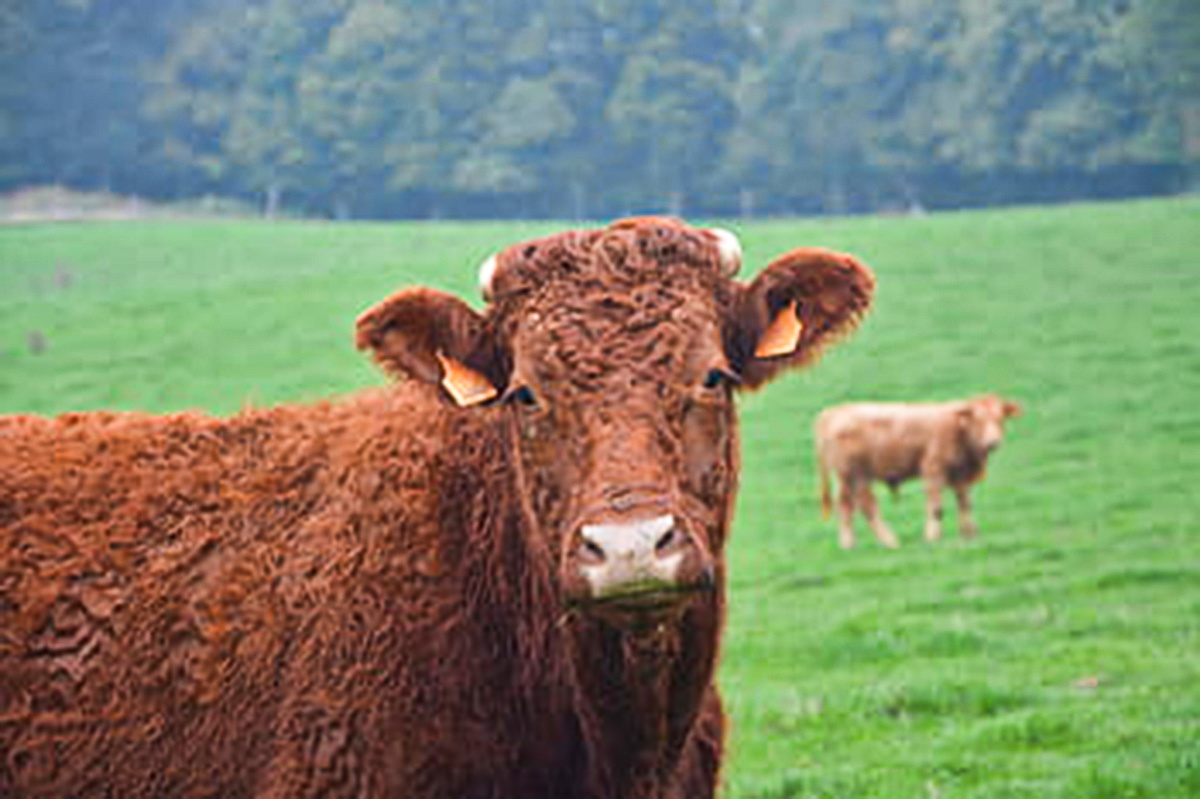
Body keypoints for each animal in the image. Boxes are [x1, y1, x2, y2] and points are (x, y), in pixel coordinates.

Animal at [811, 393, 1017, 547]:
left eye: (1000, 419)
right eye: (978, 420)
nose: (992, 442)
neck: (958, 428)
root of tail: (834, 412)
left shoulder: (960, 475)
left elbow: (965, 504)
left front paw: (969, 534)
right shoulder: (933, 469)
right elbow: (936, 508)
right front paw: (933, 537)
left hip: (845, 479)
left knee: (845, 506)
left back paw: (849, 544)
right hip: (857, 476)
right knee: (867, 506)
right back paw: (890, 541)